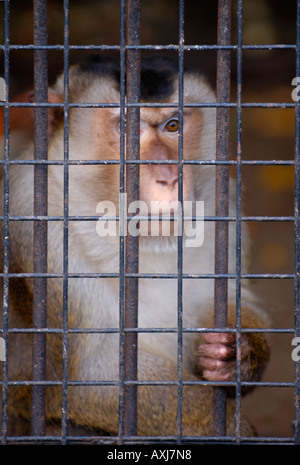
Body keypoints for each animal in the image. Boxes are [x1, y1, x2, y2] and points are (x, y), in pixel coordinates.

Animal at [0, 56, 270, 436]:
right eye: (127, 128)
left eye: (173, 125)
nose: (169, 177)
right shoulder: (37, 225)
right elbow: (93, 376)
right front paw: (233, 428)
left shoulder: (224, 211)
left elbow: (227, 300)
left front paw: (236, 354)